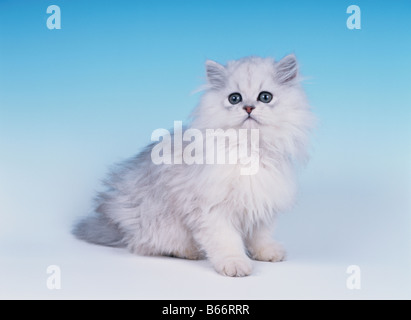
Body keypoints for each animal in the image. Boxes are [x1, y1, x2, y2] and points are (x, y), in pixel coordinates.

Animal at [73, 53, 316, 276]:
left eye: (265, 97)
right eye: (234, 99)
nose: (248, 108)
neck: (248, 151)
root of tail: (119, 224)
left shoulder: (262, 204)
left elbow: (261, 236)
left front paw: (267, 252)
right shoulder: (213, 210)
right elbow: (227, 242)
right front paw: (235, 264)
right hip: (160, 225)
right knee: (147, 246)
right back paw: (190, 252)